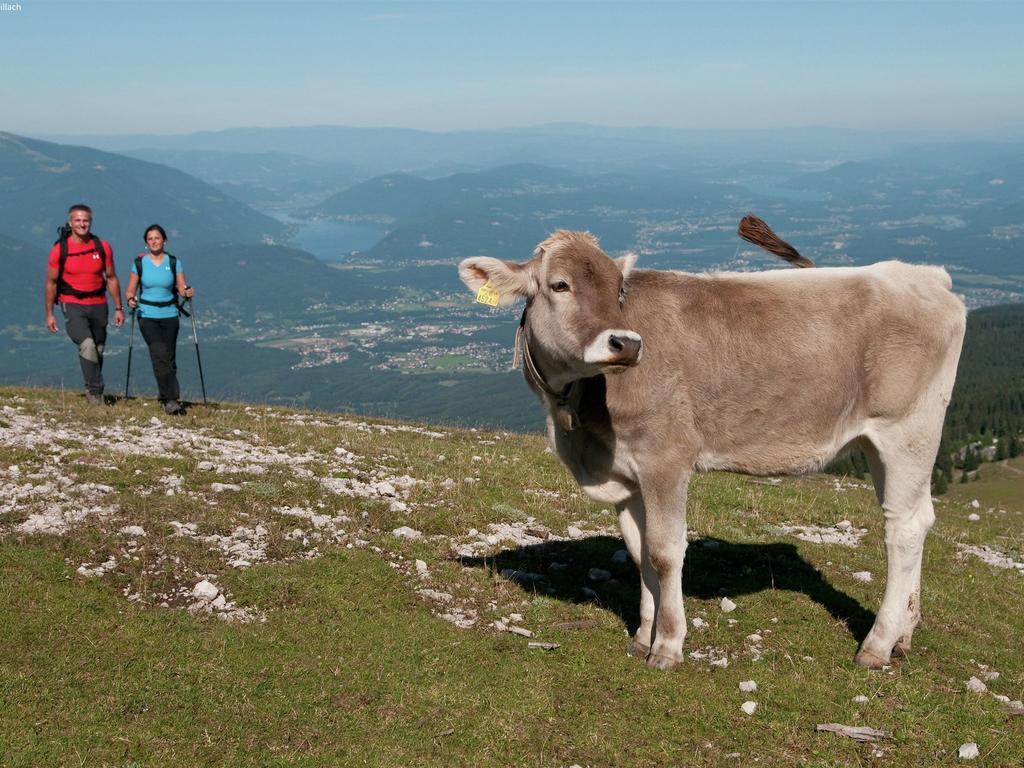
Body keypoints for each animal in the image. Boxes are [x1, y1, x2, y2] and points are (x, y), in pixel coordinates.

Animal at [460, 222, 962, 671]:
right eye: (559, 285)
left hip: (906, 430)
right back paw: (903, 636)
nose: (626, 342)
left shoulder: (666, 457)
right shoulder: (626, 476)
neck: (578, 423)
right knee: (919, 517)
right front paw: (642, 636)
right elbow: (639, 552)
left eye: (619, 291)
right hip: (881, 443)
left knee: (902, 528)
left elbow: (664, 552)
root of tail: (925, 275)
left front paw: (667, 646)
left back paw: (876, 645)